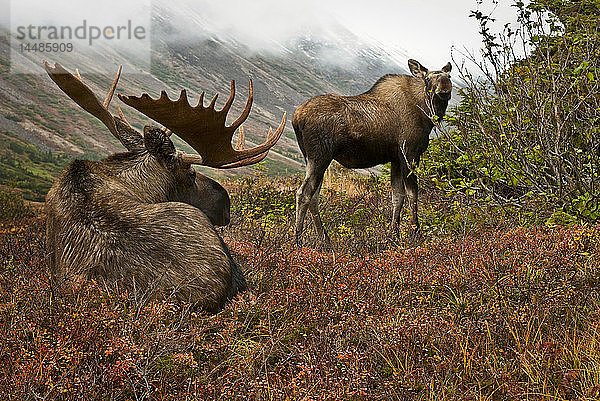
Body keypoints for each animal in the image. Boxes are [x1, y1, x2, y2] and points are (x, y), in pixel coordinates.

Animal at [290, 58, 450, 245]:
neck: (426, 114)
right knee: (303, 194)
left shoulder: (395, 159)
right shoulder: (409, 154)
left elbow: (398, 196)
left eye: (449, 76)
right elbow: (413, 194)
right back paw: (298, 241)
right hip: (319, 157)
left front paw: (394, 235)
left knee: (314, 196)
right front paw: (415, 232)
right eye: (428, 78)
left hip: (311, 158)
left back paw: (325, 241)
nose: (445, 87)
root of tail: (296, 118)